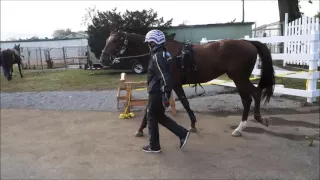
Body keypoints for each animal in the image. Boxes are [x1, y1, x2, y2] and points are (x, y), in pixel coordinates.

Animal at [100, 30, 276, 137]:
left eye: (114, 41)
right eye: (107, 40)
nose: (103, 60)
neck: (163, 52)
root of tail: (249, 43)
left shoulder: (173, 85)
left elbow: (172, 104)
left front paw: (140, 129)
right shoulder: (173, 86)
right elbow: (182, 103)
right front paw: (192, 124)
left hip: (239, 78)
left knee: (252, 96)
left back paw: (247, 124)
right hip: (240, 78)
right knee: (250, 97)